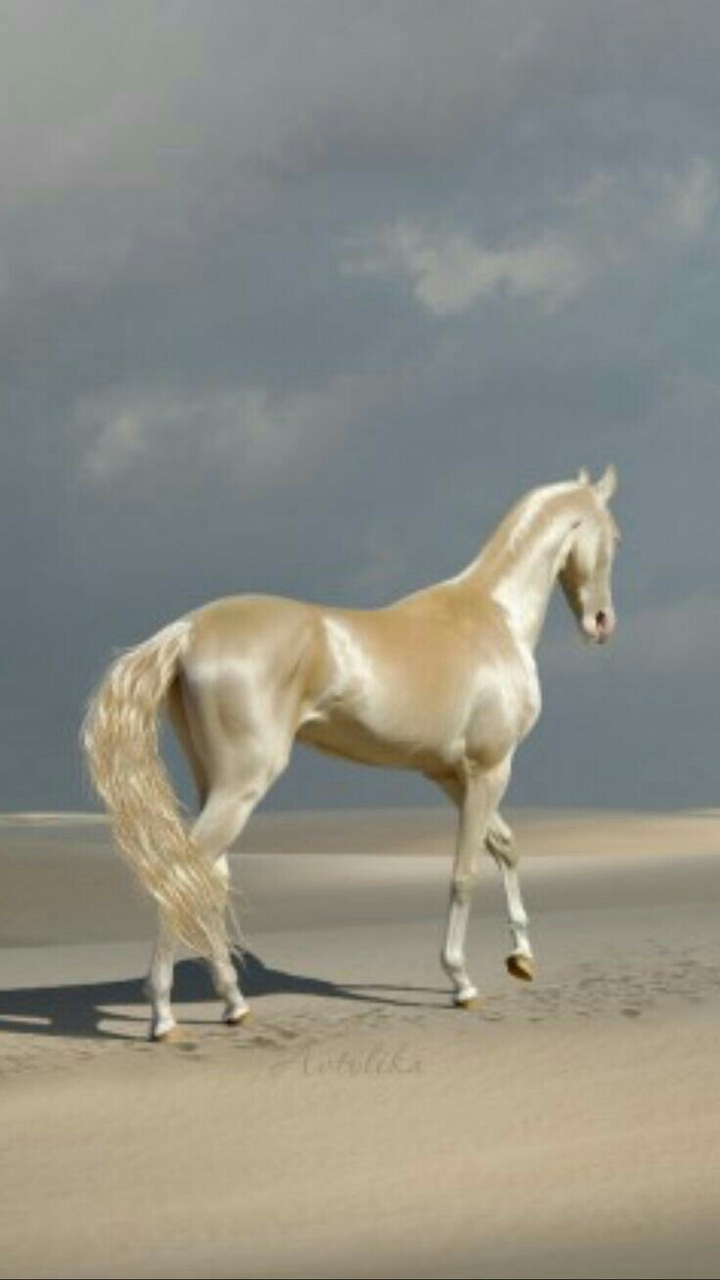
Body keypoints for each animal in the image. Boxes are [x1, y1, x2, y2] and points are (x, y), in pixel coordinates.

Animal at [82, 466, 620, 1040]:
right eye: (613, 537)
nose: (601, 622)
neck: (493, 618)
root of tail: (188, 631)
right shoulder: (489, 770)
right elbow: (465, 874)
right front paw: (461, 981)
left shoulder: (451, 776)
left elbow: (506, 847)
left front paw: (521, 956)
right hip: (242, 786)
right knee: (183, 875)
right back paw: (163, 1015)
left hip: (215, 784)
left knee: (207, 881)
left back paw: (233, 1002)